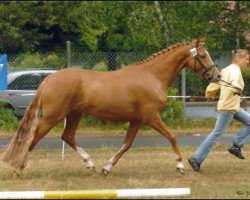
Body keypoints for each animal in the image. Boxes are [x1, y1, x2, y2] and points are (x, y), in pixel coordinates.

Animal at [1, 37, 221, 175]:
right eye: (202, 55)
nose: (217, 75)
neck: (152, 76)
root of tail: (49, 79)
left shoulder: (136, 121)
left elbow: (126, 145)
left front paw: (106, 168)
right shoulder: (151, 117)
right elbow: (172, 136)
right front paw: (180, 166)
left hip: (74, 115)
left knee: (67, 136)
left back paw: (90, 164)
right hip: (52, 117)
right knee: (34, 138)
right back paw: (19, 168)